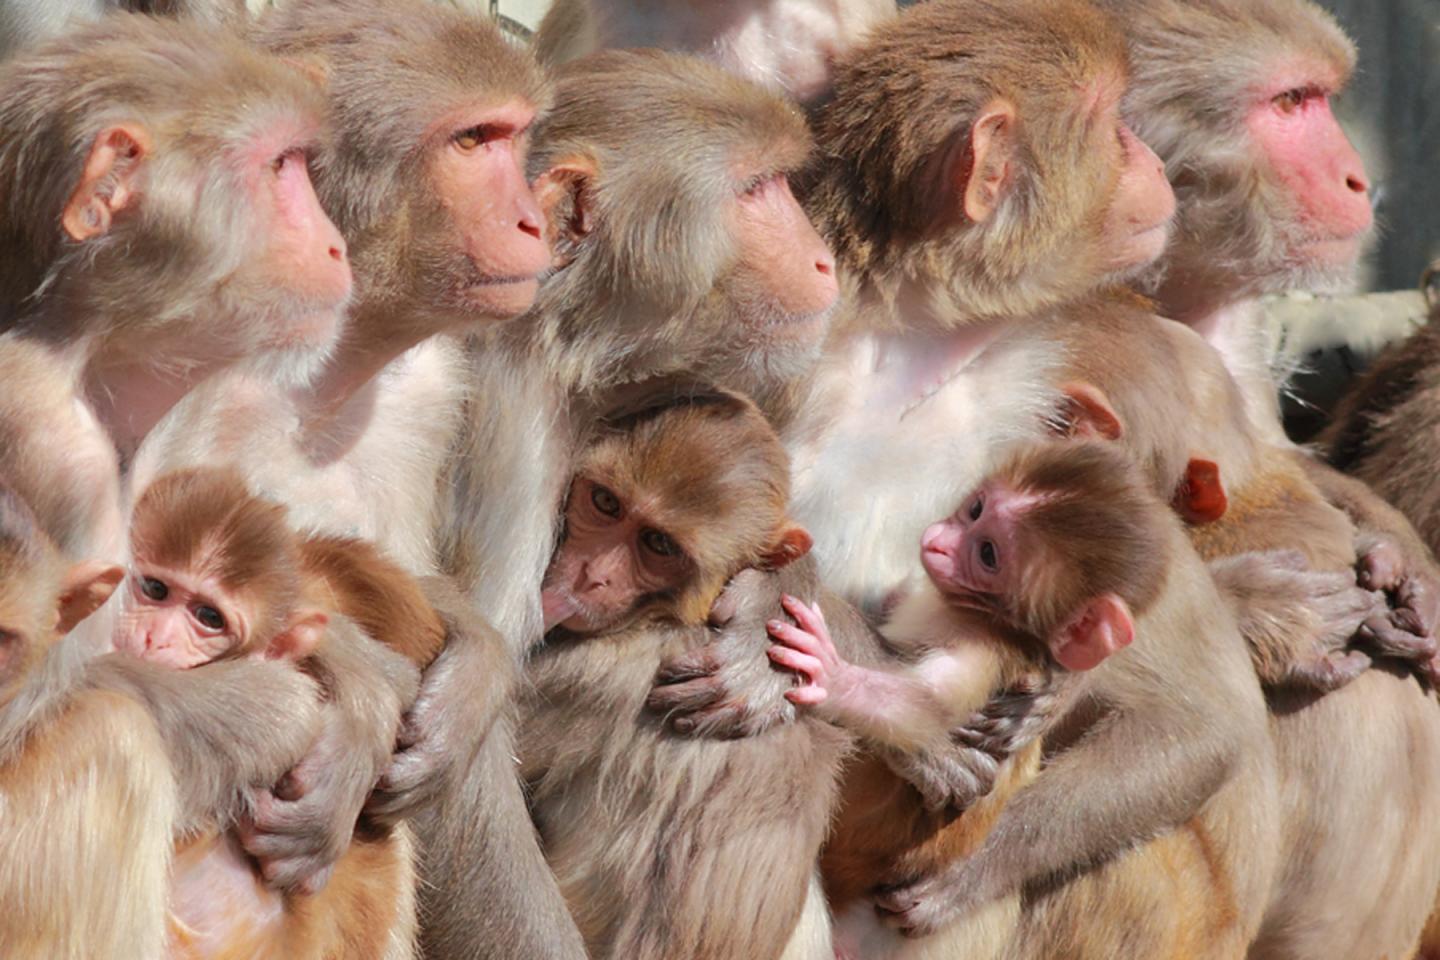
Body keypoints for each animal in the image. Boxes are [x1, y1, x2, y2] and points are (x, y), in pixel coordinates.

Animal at [764, 441, 1279, 959]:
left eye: (988, 553)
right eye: (975, 509)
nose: (939, 540)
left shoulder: (983, 640)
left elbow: (928, 707)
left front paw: (833, 676)